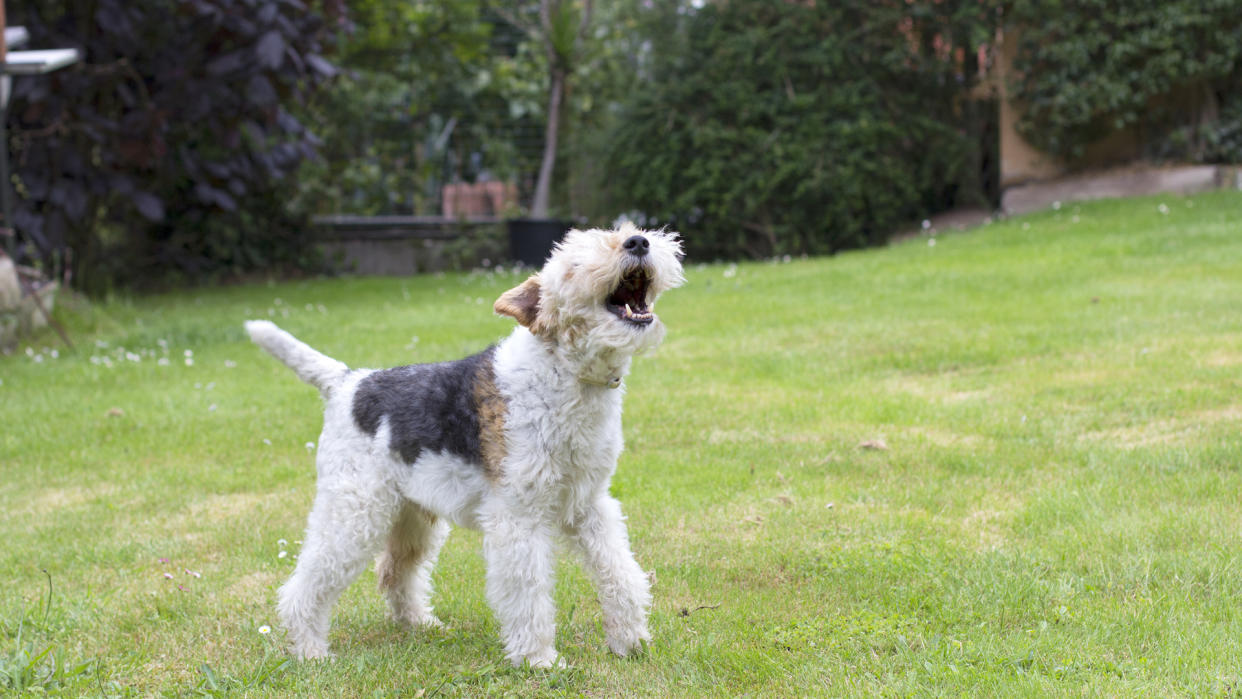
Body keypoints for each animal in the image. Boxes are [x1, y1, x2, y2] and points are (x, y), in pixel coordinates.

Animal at [243, 224, 685, 665]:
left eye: (625, 232)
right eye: (574, 263)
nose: (639, 242)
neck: (565, 372)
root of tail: (348, 382)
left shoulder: (588, 505)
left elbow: (620, 573)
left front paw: (631, 642)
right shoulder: (517, 516)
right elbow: (529, 592)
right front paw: (539, 659)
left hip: (412, 516)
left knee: (395, 572)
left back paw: (421, 624)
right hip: (355, 513)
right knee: (305, 585)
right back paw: (310, 651)